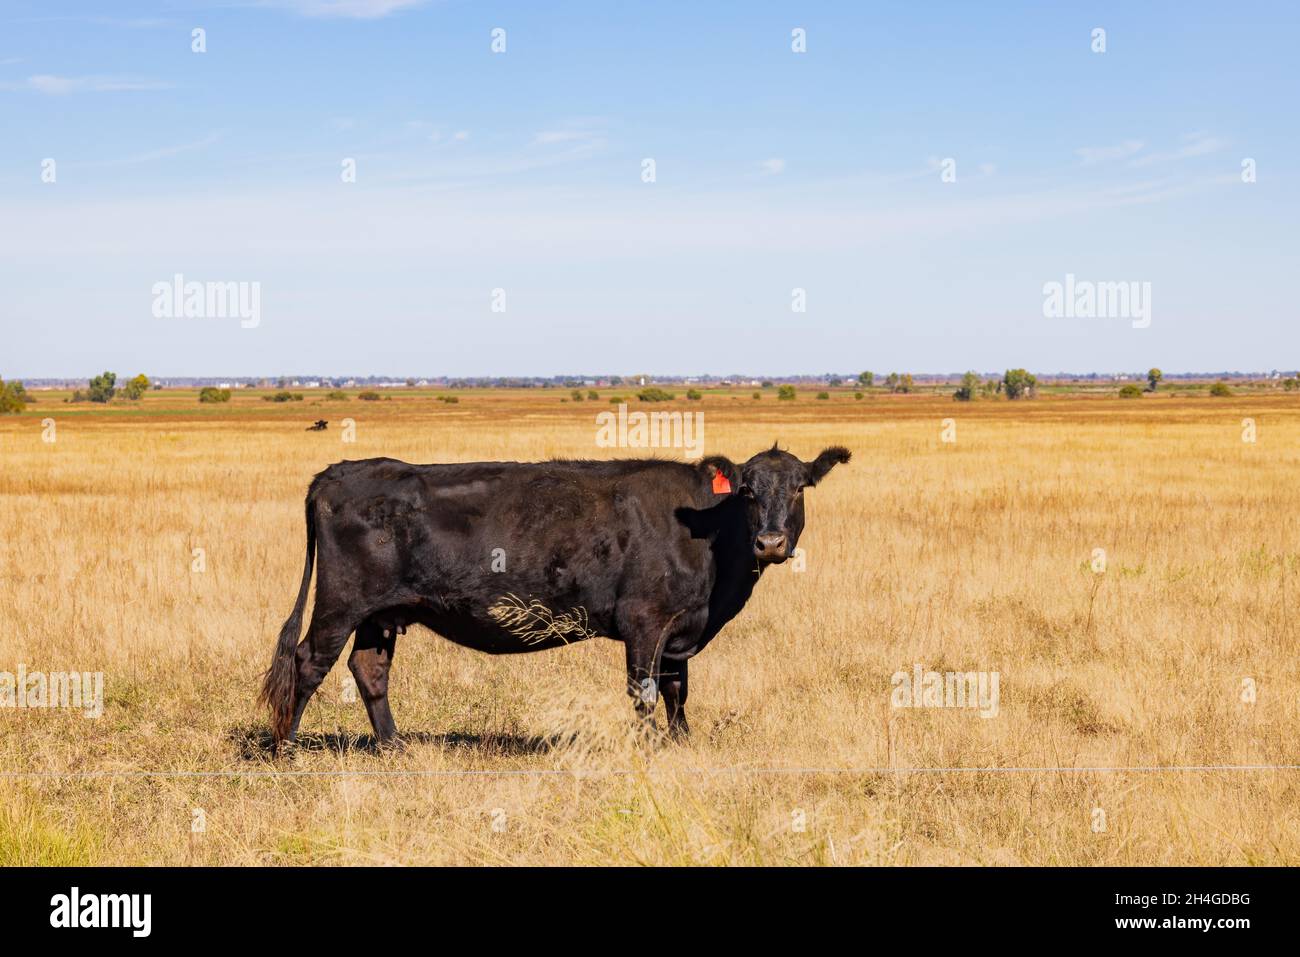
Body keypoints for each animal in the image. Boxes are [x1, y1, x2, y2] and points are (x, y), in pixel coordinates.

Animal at [259, 444, 849, 749]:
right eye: (747, 490)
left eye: (799, 487)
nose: (770, 541)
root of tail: (338, 472)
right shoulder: (644, 621)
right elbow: (644, 692)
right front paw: (647, 749)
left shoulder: (680, 627)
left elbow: (677, 690)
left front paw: (680, 743)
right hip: (340, 603)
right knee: (308, 661)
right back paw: (286, 747)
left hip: (381, 613)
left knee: (369, 669)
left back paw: (393, 744)